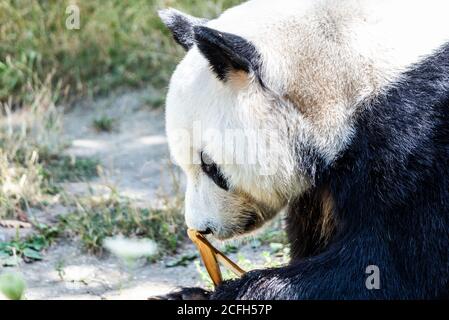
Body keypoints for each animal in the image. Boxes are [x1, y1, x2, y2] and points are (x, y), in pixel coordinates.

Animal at [158, 0, 448, 300]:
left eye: (210, 165)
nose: (201, 227)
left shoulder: (416, 136)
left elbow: (392, 267)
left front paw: (234, 291)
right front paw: (190, 294)